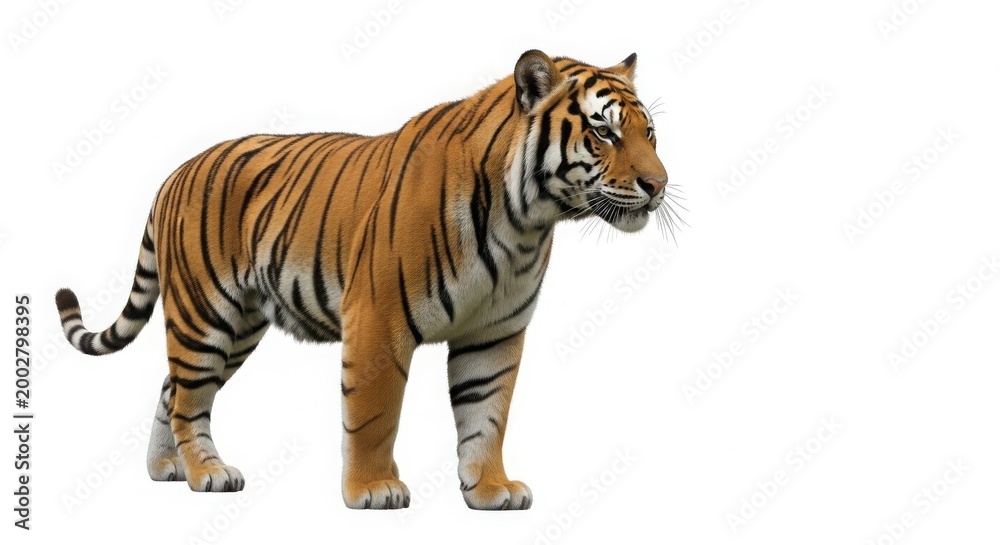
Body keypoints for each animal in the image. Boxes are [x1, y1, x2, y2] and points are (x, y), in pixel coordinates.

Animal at [54, 49, 675, 510]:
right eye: (604, 133)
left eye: (650, 134)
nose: (659, 185)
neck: (526, 219)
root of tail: (173, 174)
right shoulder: (379, 318)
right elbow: (375, 412)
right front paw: (374, 490)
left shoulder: (495, 333)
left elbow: (487, 414)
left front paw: (491, 490)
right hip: (206, 315)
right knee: (187, 396)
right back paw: (207, 473)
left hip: (239, 326)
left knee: (173, 387)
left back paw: (167, 468)